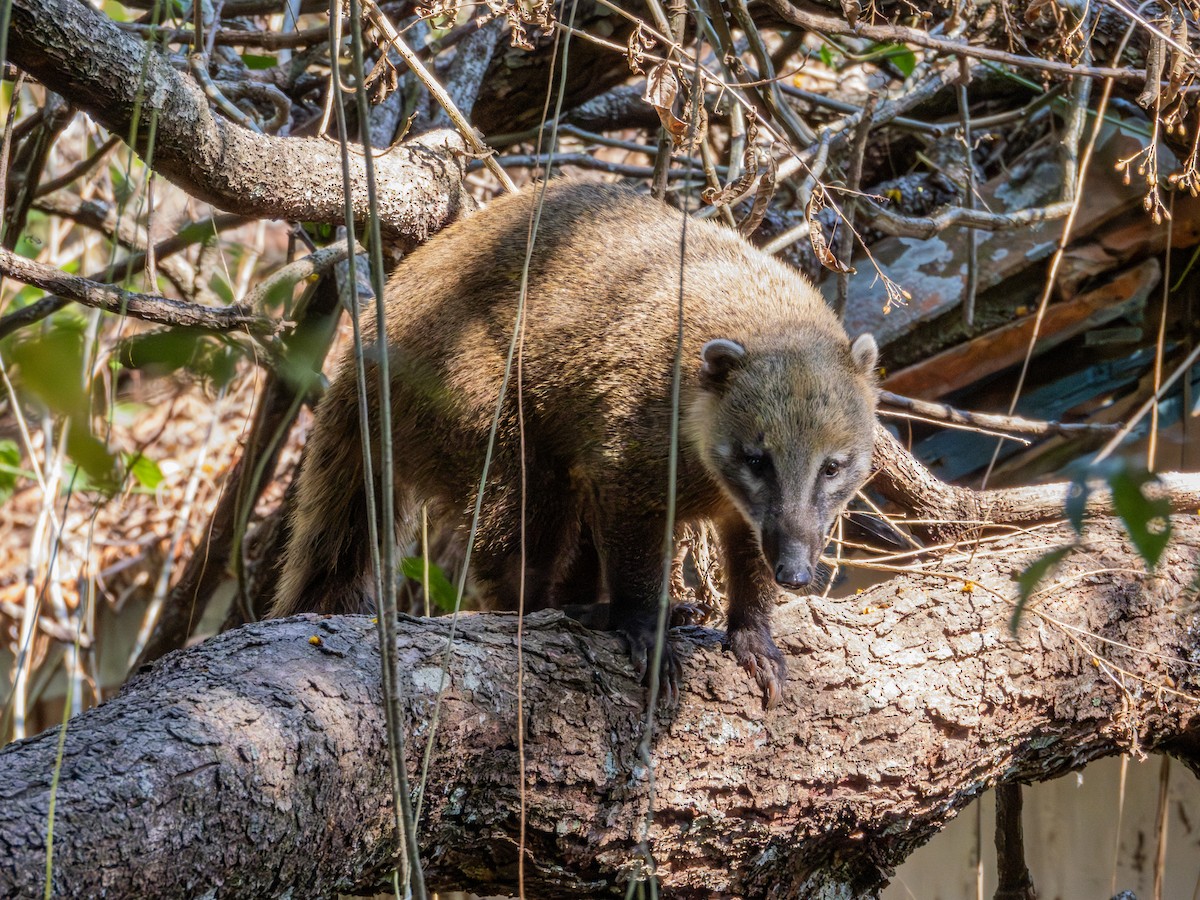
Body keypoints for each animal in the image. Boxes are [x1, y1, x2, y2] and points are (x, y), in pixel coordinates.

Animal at [273, 180, 878, 707]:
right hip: (464, 390)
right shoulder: (636, 428)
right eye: (757, 459)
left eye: (833, 467)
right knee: (521, 512)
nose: (795, 573)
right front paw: (642, 620)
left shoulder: (750, 508)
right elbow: (629, 524)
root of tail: (371, 340)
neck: (765, 318)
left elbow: (748, 546)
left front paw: (754, 626)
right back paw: (552, 609)